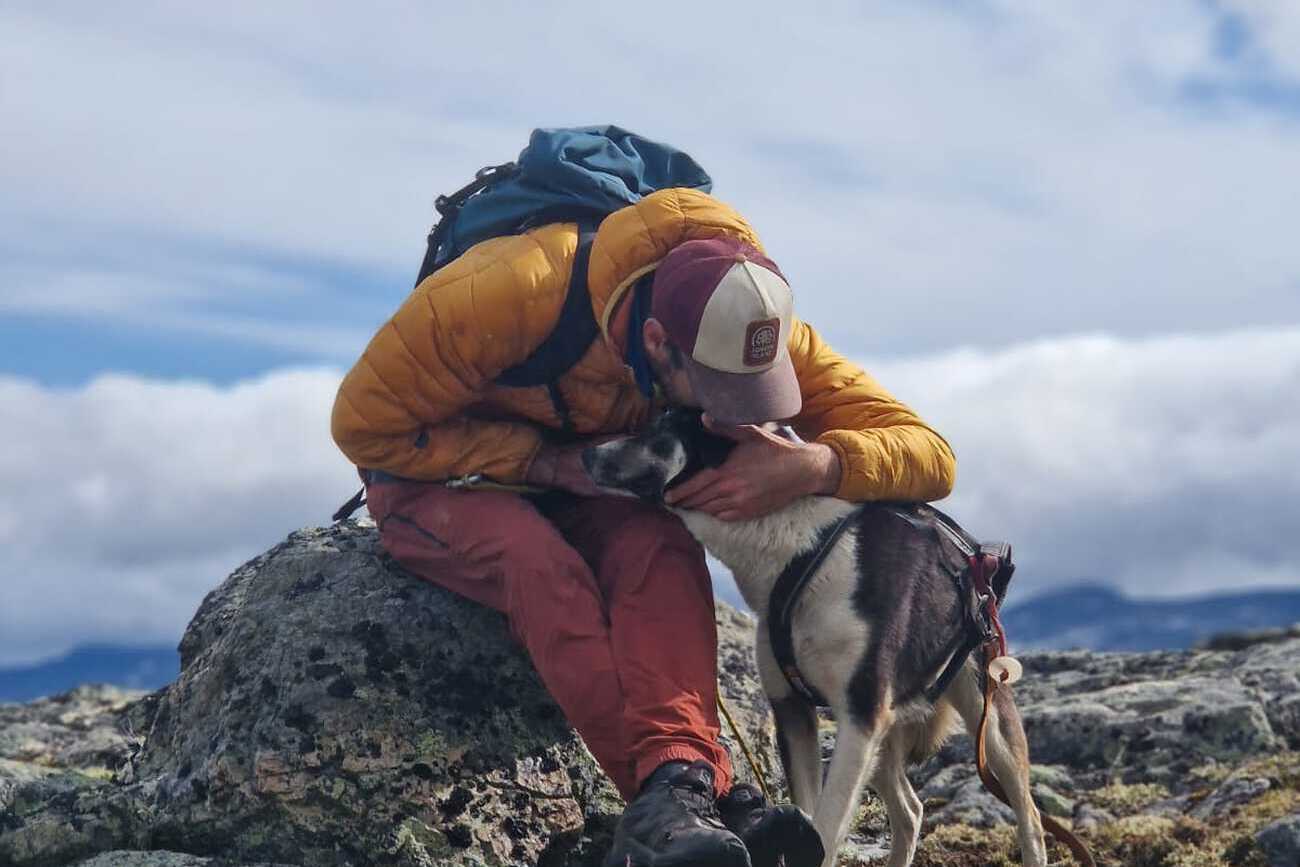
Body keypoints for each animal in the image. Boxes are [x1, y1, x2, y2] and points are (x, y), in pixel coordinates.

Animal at [585, 413, 1050, 867]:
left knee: (1028, 813)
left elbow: (825, 830)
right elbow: (809, 815)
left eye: (660, 429)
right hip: (885, 733)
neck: (796, 545)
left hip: (984, 716)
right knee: (910, 810)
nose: (587, 454)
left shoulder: (860, 718)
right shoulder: (796, 711)